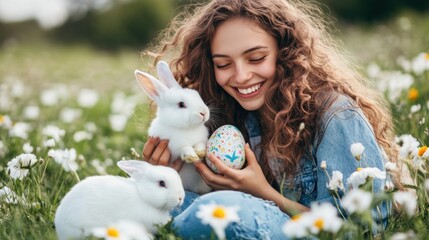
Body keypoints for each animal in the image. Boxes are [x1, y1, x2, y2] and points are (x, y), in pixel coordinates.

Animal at [135, 61, 211, 194]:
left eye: (197, 95)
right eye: (181, 104)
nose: (204, 113)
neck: (188, 128)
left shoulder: (202, 140)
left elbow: (200, 144)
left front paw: (200, 152)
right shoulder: (174, 147)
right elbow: (184, 148)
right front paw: (191, 156)